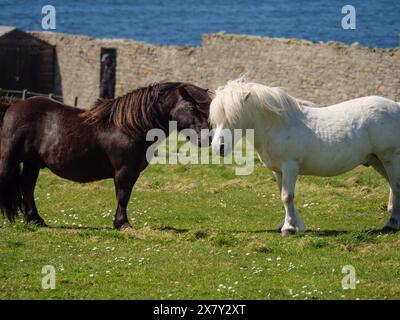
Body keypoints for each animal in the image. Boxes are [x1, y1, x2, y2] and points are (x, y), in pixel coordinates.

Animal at [0, 82, 212, 228]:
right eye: (192, 108)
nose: (208, 138)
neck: (129, 127)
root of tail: (12, 107)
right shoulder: (123, 171)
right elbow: (123, 195)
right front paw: (122, 223)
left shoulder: (133, 173)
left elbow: (125, 195)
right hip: (9, 159)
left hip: (32, 163)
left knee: (27, 187)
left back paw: (35, 219)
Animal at [209, 79, 400, 236]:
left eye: (235, 117)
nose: (218, 147)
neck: (278, 125)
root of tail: (396, 106)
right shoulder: (278, 171)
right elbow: (282, 195)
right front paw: (291, 223)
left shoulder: (290, 167)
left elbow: (287, 196)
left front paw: (289, 228)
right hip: (377, 160)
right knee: (393, 185)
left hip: (390, 158)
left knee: (396, 185)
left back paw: (391, 224)